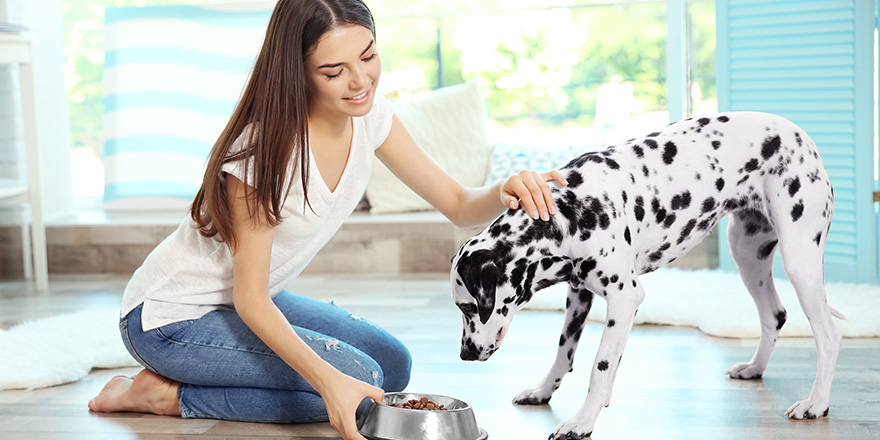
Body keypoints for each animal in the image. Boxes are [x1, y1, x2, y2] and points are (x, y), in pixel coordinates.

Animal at [454, 112, 844, 440]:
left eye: (468, 308)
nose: (464, 355)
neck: (569, 211)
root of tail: (801, 135)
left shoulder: (624, 298)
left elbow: (600, 367)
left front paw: (581, 421)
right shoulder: (579, 294)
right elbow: (564, 353)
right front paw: (543, 391)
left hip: (800, 261)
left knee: (828, 336)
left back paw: (816, 403)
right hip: (747, 254)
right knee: (774, 315)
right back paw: (754, 368)